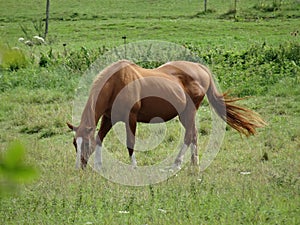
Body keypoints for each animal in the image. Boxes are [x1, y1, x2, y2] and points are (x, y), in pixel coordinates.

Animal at [67, 59, 266, 170]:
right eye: (74, 144)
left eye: (84, 144)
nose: (79, 167)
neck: (117, 83)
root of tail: (201, 68)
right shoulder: (108, 118)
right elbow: (99, 138)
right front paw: (99, 165)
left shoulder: (131, 118)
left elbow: (130, 144)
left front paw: (134, 166)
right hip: (185, 115)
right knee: (194, 135)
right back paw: (194, 163)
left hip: (188, 113)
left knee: (189, 136)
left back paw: (177, 163)